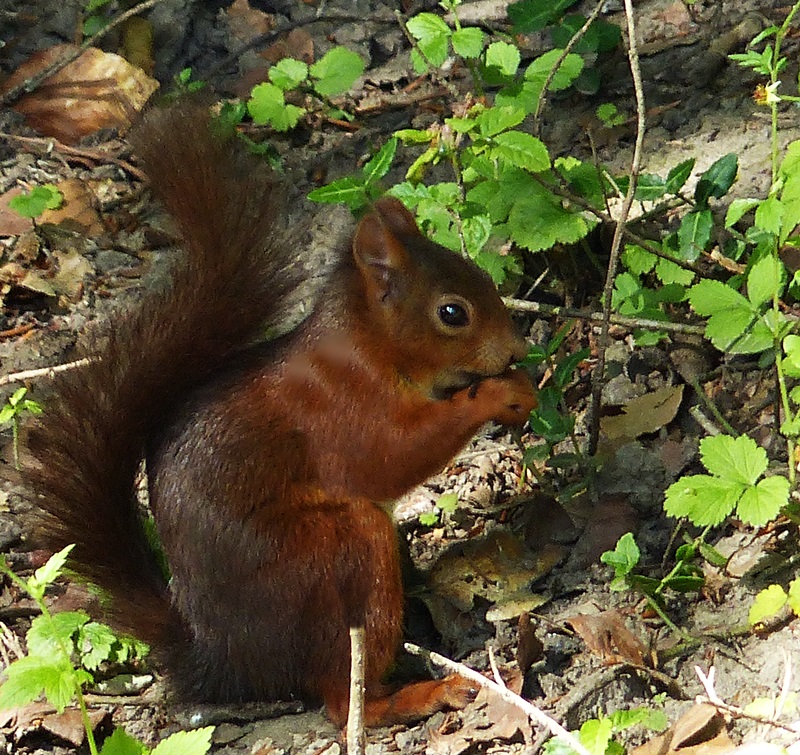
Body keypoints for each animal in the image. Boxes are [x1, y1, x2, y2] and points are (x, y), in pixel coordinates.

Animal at [26, 105, 536, 728]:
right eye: (452, 313)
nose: (516, 347)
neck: (366, 347)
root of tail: (226, 661)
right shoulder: (338, 409)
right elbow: (391, 457)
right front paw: (499, 394)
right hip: (331, 559)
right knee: (343, 699)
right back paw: (419, 694)